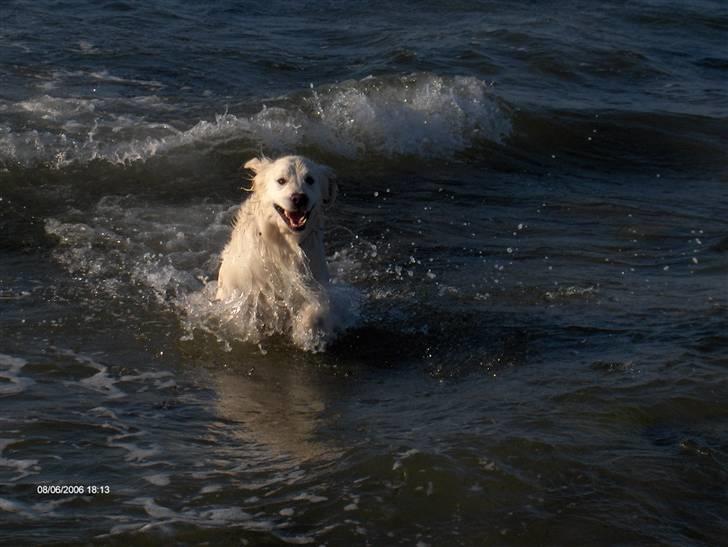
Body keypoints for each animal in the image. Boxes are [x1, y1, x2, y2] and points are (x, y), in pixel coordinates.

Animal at [216, 156, 338, 348]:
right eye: (281, 181)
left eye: (310, 180)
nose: (299, 198)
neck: (284, 242)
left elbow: (316, 307)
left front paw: (307, 331)